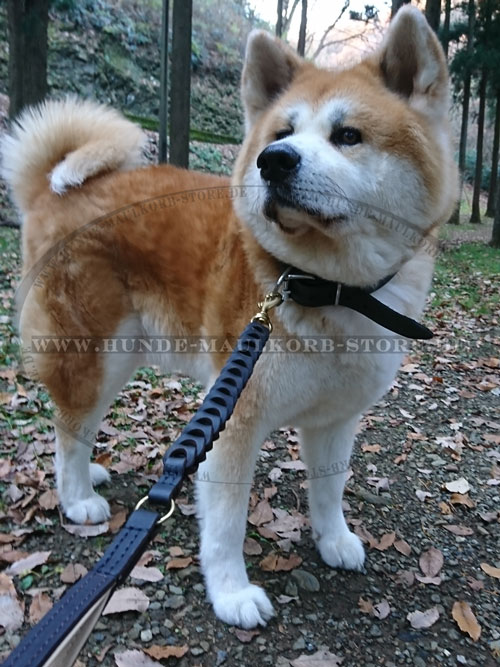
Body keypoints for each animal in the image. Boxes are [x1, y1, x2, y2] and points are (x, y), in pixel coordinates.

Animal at [1, 6, 458, 632]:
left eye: (348, 135)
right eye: (281, 134)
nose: (275, 161)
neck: (323, 285)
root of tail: (51, 193)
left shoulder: (336, 418)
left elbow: (328, 488)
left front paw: (334, 540)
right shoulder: (234, 424)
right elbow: (224, 526)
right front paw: (232, 593)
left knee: (77, 427)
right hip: (96, 355)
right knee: (69, 430)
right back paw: (76, 498)